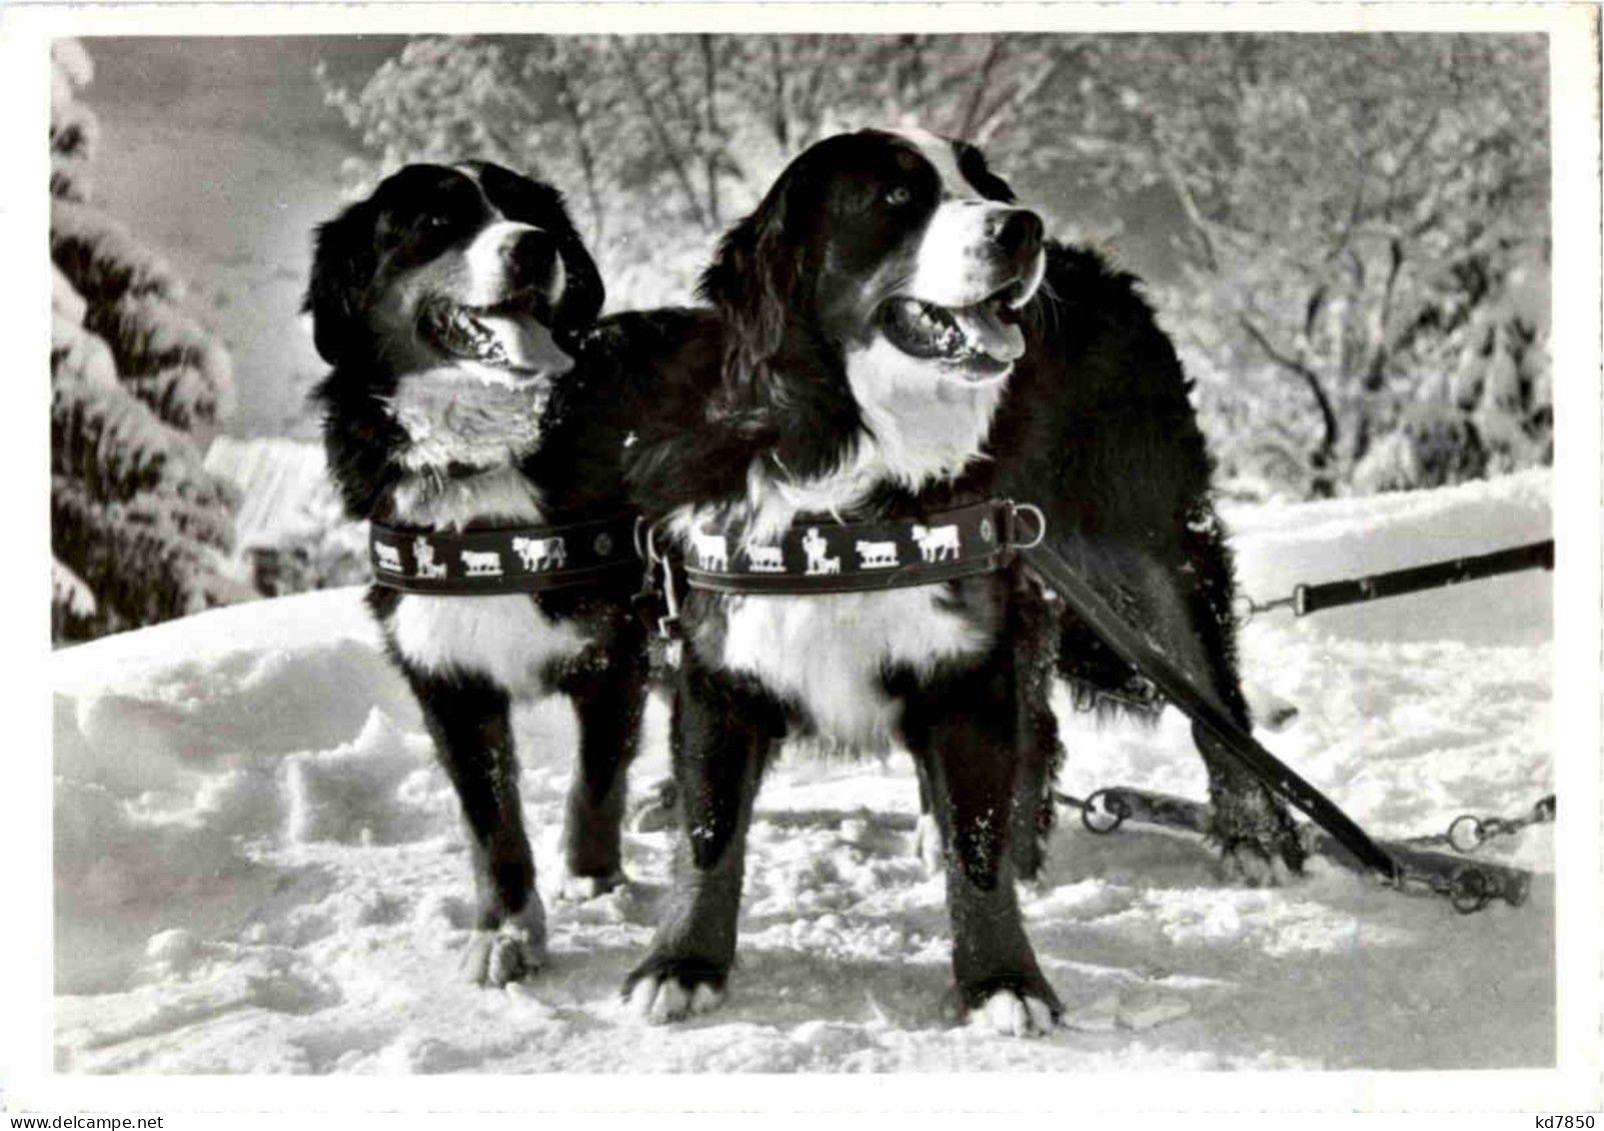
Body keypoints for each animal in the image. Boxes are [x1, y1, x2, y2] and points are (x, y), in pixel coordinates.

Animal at [306, 161, 644, 988]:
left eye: (530, 213)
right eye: (436, 222)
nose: (534, 247)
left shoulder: (614, 649)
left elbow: (596, 780)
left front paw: (592, 876)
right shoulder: (448, 677)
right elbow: (491, 826)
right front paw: (506, 931)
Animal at [612, 129, 1302, 1033]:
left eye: (986, 182)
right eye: (898, 198)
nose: (1024, 225)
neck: (856, 464)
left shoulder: (967, 664)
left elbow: (979, 853)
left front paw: (1003, 980)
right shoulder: (723, 664)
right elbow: (710, 835)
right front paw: (680, 961)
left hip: (1148, 546)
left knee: (1212, 699)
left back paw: (1255, 828)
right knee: (1042, 722)